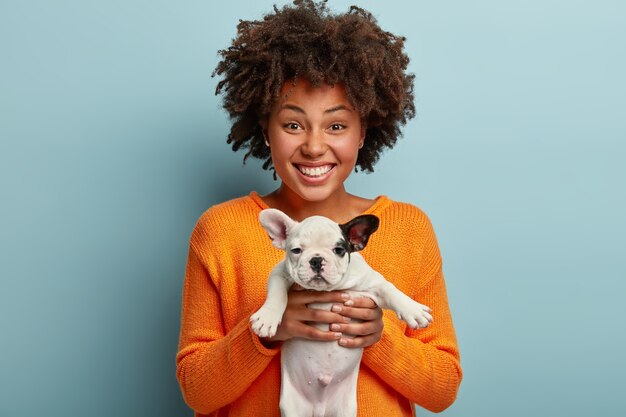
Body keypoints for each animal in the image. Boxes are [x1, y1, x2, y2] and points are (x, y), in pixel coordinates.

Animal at [251, 210, 432, 416]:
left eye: (339, 250)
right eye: (296, 250)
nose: (316, 259)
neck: (328, 290)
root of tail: (319, 407)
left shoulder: (373, 283)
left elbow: (390, 289)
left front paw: (413, 309)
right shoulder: (279, 274)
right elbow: (277, 294)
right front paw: (267, 318)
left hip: (345, 410)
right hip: (292, 409)